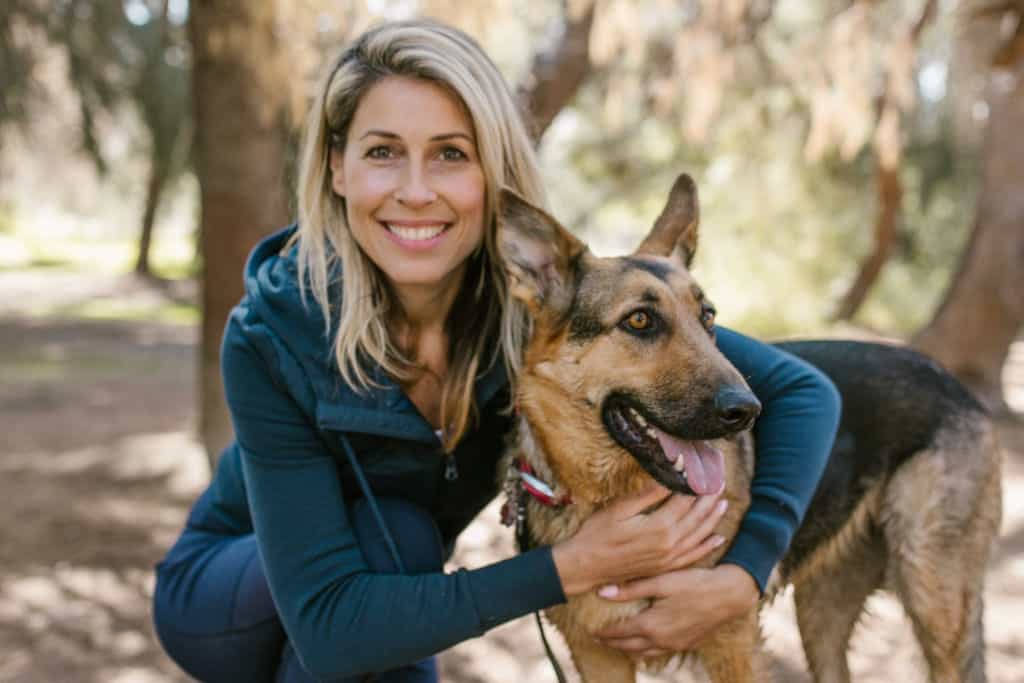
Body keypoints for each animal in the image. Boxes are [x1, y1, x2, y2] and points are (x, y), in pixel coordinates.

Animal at [493, 174, 999, 679]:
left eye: (708, 317)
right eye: (639, 320)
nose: (746, 410)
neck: (607, 498)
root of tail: (956, 385)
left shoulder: (732, 645)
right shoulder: (598, 656)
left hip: (933, 599)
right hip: (822, 611)